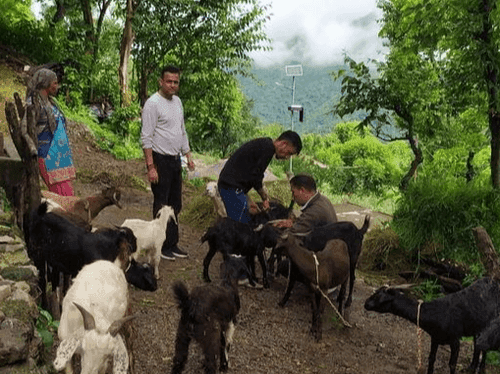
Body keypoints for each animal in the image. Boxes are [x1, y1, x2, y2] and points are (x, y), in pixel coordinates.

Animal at [364, 276, 500, 372]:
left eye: (378, 296)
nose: (365, 304)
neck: (436, 314)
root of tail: (493, 281)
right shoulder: (435, 338)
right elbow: (431, 359)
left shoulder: (455, 341)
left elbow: (452, 364)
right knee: (477, 343)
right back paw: (472, 367)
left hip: (490, 324)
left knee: (484, 345)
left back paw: (481, 368)